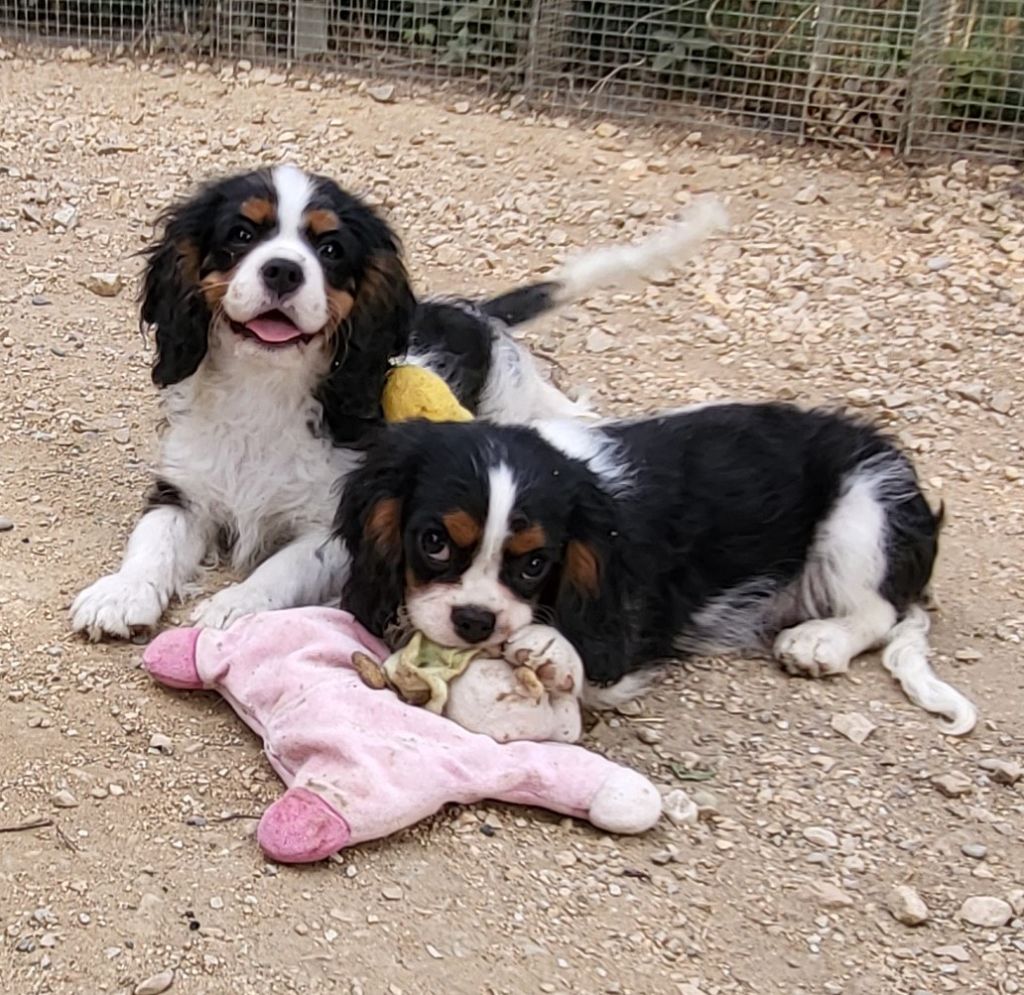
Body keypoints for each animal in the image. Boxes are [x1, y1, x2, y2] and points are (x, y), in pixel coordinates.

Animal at [70, 163, 729, 642]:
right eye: (241, 235)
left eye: (330, 250)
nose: (283, 271)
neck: (266, 388)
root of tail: (475, 312)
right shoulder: (184, 489)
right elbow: (153, 541)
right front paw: (121, 593)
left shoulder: (340, 522)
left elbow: (282, 568)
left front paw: (234, 604)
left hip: (521, 398)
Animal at [333, 401, 974, 732]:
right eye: (434, 542)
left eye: (535, 564)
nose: (475, 622)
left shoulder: (633, 614)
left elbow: (594, 656)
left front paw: (548, 649)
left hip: (865, 507)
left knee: (881, 611)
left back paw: (820, 641)